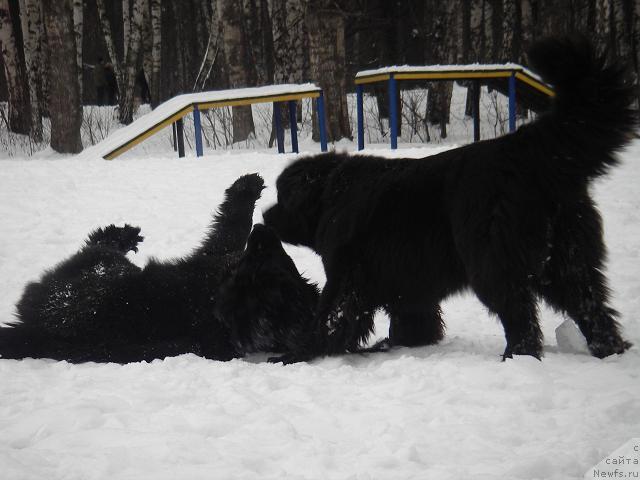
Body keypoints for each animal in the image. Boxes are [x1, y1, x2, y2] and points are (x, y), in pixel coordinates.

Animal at [0, 174, 320, 362]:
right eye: (281, 262)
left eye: (267, 265)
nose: (265, 231)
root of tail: (34, 330)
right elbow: (235, 228)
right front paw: (249, 187)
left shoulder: (215, 255)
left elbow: (231, 226)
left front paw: (245, 188)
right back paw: (127, 234)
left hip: (96, 267)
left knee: (97, 245)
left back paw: (120, 235)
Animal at [264, 35, 636, 362]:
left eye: (283, 197)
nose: (266, 216)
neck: (329, 196)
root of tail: (521, 150)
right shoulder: (406, 281)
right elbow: (413, 317)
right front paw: (404, 343)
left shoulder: (346, 275)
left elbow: (330, 317)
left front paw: (297, 354)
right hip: (566, 259)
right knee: (590, 306)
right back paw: (610, 350)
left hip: (492, 261)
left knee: (520, 314)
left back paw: (517, 357)